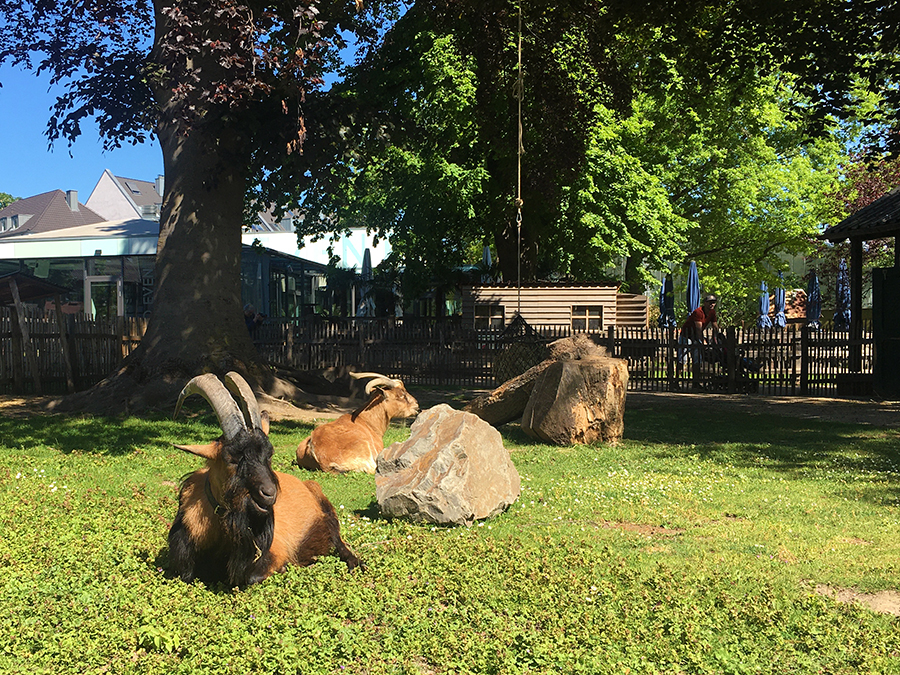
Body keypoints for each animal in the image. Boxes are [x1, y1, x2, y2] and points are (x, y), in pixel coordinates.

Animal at [169, 370, 358, 588]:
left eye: (269, 455)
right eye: (231, 459)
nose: (269, 494)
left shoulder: (273, 552)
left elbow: (252, 576)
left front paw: (285, 568)